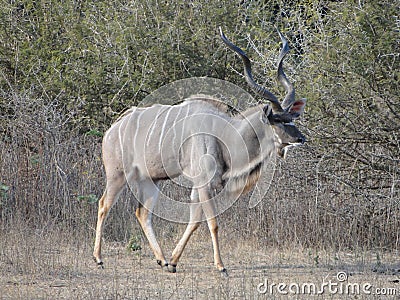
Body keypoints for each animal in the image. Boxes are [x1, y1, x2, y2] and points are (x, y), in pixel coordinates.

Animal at [93, 28, 306, 276]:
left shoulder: (200, 186)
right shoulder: (204, 183)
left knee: (142, 213)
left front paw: (173, 262)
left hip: (151, 180)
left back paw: (161, 259)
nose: (300, 138)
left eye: (292, 118)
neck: (226, 135)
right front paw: (221, 266)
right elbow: (213, 223)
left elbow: (195, 221)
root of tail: (113, 128)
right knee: (103, 205)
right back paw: (98, 259)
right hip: (117, 175)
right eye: (278, 120)